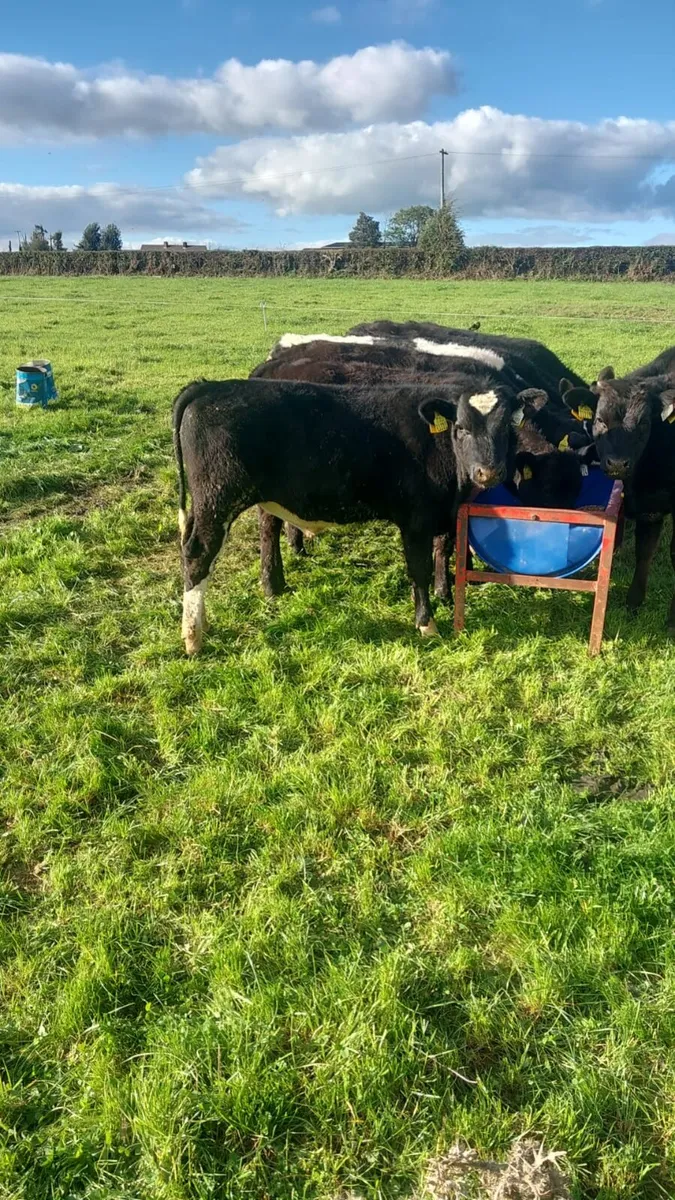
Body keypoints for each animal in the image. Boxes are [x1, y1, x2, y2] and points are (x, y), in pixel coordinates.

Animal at [173, 371, 529, 653]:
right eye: (462, 428)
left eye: (507, 429)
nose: (488, 472)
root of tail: (209, 387)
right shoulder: (415, 520)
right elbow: (420, 570)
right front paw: (426, 624)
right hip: (217, 500)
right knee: (198, 554)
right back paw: (193, 637)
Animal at [559, 353, 675, 634]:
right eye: (600, 420)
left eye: (644, 423)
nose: (618, 464)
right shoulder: (650, 507)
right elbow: (644, 550)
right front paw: (634, 602)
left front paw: (671, 620)